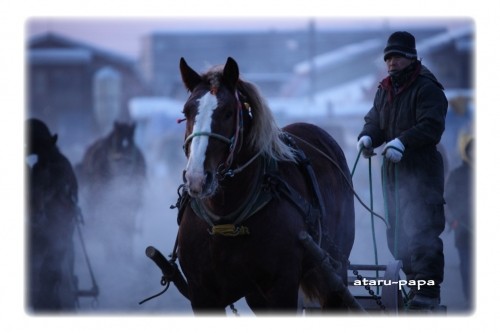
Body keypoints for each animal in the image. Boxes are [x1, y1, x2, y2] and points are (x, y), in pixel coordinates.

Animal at [176, 57, 356, 314]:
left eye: (228, 112)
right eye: (187, 111)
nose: (198, 178)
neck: (226, 220)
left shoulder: (281, 288)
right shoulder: (202, 293)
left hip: (335, 269)